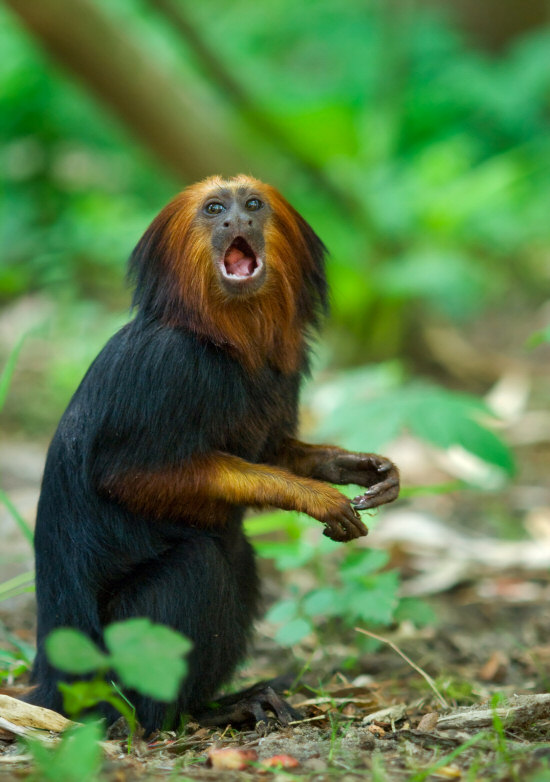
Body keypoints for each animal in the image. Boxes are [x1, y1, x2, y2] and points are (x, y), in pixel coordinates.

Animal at [29, 176, 402, 736]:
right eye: (213, 210)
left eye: (252, 205)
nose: (236, 222)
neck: (225, 337)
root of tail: (56, 689)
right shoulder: (165, 365)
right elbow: (130, 476)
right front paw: (312, 494)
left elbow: (272, 450)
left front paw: (354, 468)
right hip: (104, 669)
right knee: (199, 563)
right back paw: (179, 717)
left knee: (236, 554)